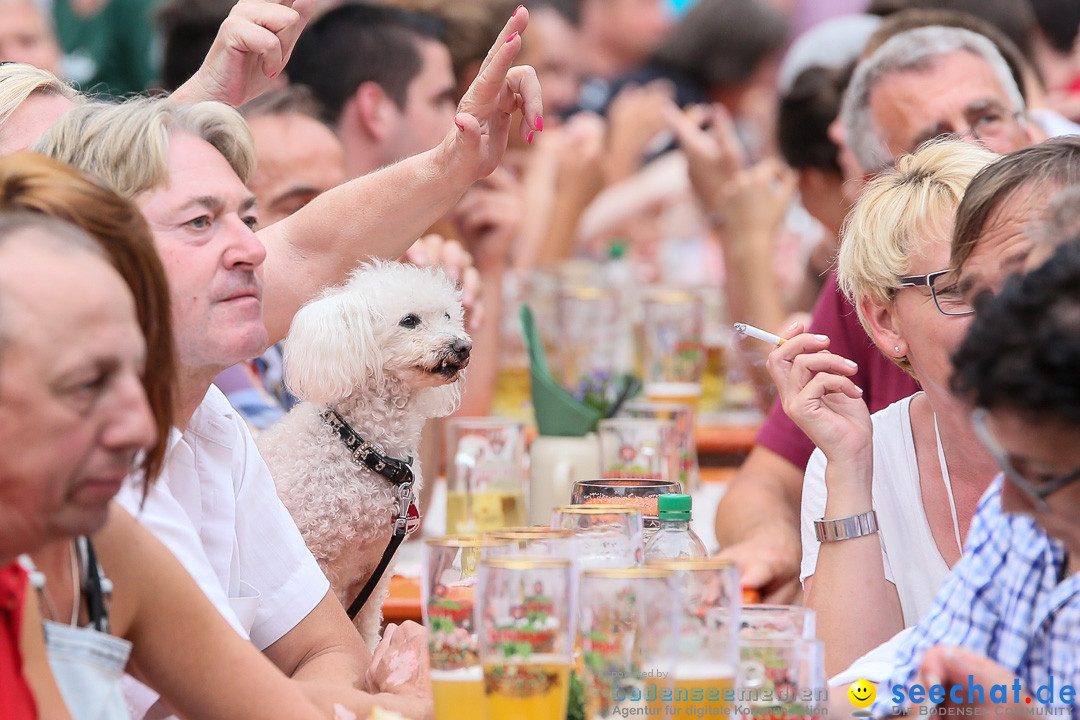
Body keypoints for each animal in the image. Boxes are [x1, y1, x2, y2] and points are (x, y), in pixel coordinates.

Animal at [259, 262, 470, 643]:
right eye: (409, 320)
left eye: (448, 315)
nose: (463, 346)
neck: (367, 450)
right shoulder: (319, 561)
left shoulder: (375, 571)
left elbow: (365, 629)